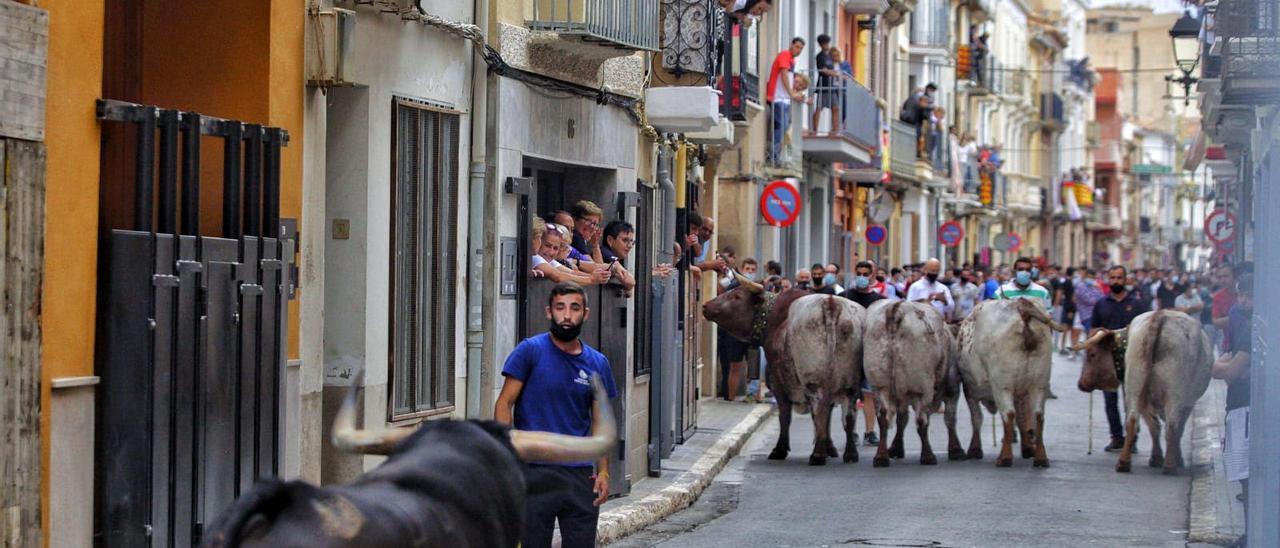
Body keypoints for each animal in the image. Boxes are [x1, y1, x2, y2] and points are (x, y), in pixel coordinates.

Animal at [701, 276, 870, 463]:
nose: (706, 305)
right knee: (848, 414)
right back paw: (850, 453)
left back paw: (818, 455)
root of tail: (830, 303)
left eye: (737, 296)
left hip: (813, 380)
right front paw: (831, 448)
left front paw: (779, 450)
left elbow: (785, 415)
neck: (775, 320)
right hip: (850, 382)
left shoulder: (777, 381)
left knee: (819, 409)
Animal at [1075, 309, 1213, 473]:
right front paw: (1171, 457)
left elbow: (1156, 426)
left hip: (1136, 382)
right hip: (1173, 392)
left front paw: (1158, 457)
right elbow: (1173, 429)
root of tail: (1160, 316)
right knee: (1171, 424)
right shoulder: (1186, 402)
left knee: (1134, 419)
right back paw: (1169, 465)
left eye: (1092, 354)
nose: (1081, 384)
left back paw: (1124, 463)